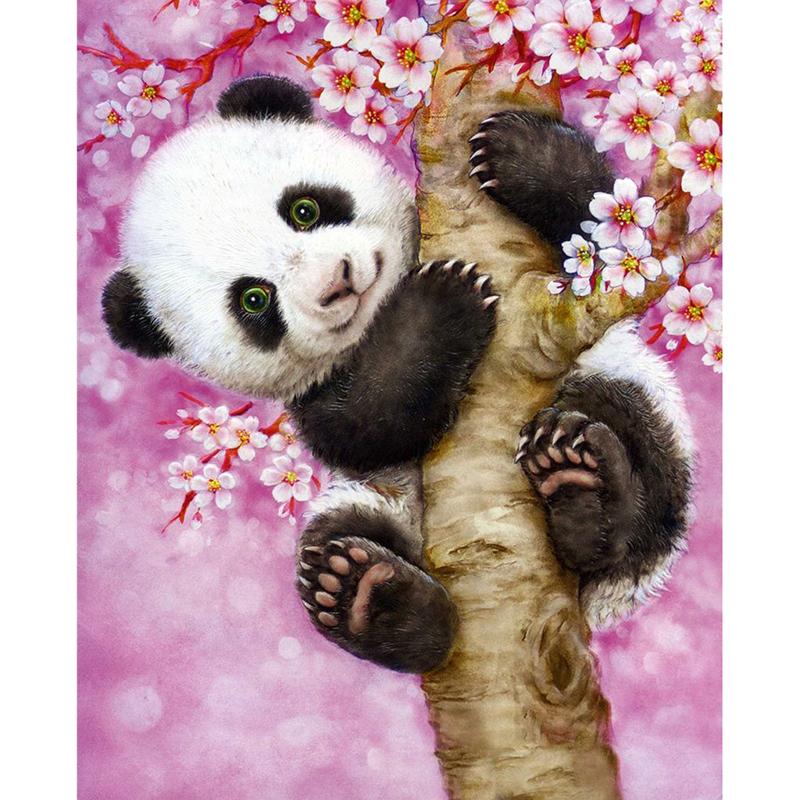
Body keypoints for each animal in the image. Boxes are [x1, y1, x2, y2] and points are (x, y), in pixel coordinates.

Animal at [102, 75, 694, 674]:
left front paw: (517, 151)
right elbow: (366, 425)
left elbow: (611, 232)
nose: (337, 282)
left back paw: (583, 490)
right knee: (336, 543)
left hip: (635, 400)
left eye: (304, 209)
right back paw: (375, 601)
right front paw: (440, 304)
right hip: (373, 508)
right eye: (254, 299)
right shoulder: (315, 397)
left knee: (632, 443)